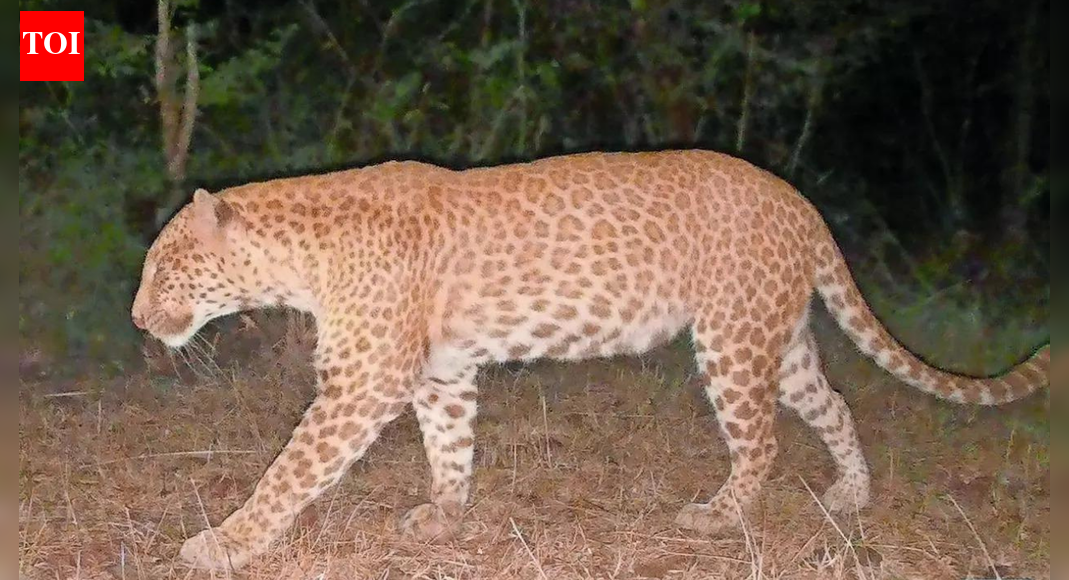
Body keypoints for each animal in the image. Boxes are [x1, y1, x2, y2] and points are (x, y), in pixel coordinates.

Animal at [130, 150, 1049, 570]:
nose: (138, 320)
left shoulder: (362, 383)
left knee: (759, 441)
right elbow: (449, 447)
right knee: (833, 406)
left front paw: (221, 543)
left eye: (163, 270)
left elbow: (288, 471)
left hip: (729, 339)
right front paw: (444, 518)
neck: (298, 257)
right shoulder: (439, 371)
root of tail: (797, 199)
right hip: (776, 340)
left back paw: (717, 517)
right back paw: (850, 495)